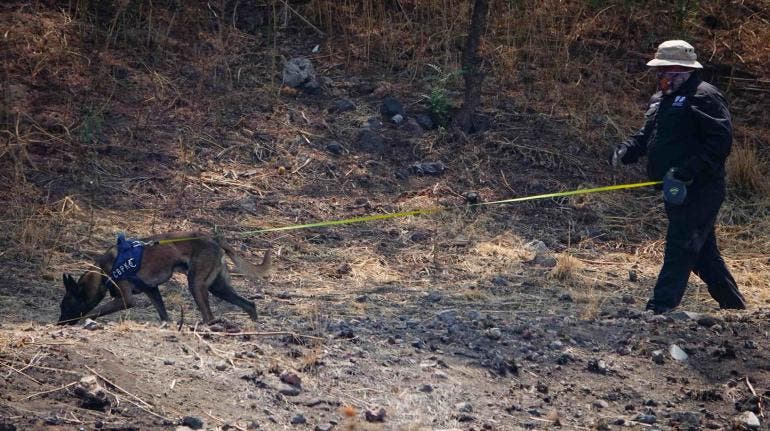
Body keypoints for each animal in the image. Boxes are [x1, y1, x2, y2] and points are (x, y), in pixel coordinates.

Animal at [58, 231, 272, 326]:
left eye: (66, 306)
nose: (59, 323)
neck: (102, 272)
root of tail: (215, 239)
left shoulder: (126, 300)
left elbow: (93, 312)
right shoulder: (152, 290)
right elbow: (163, 313)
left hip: (196, 285)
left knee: (209, 317)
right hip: (218, 288)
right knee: (249, 304)